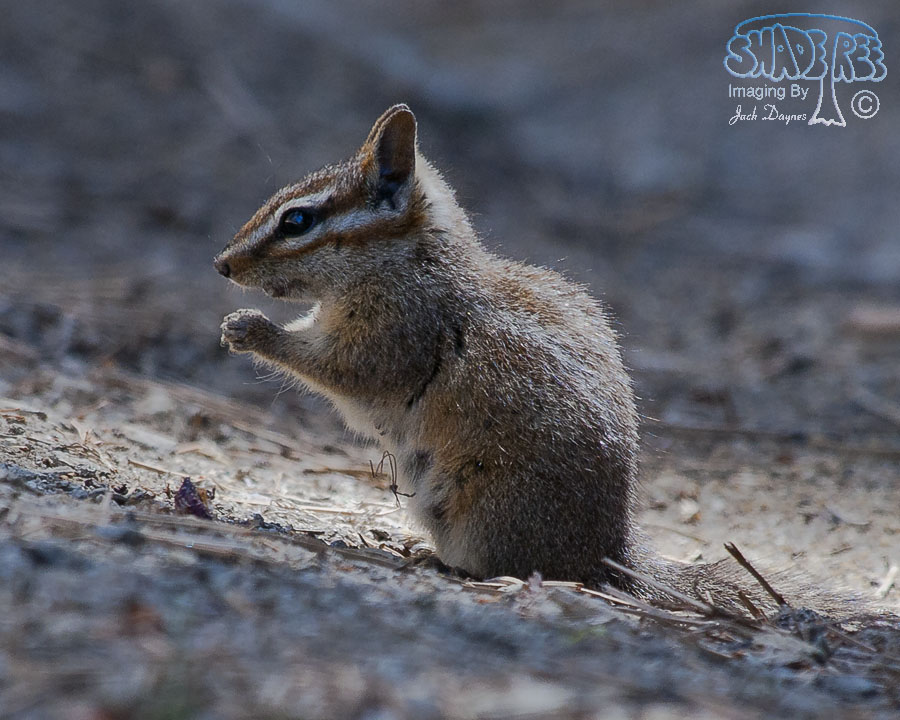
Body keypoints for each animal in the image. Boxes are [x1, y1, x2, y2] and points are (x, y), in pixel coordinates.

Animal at [215, 105, 865, 616]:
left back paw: (447, 565)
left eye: (297, 220)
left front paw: (251, 329)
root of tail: (612, 555)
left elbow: (338, 370)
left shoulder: (390, 339)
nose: (222, 264)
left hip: (476, 509)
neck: (407, 263)